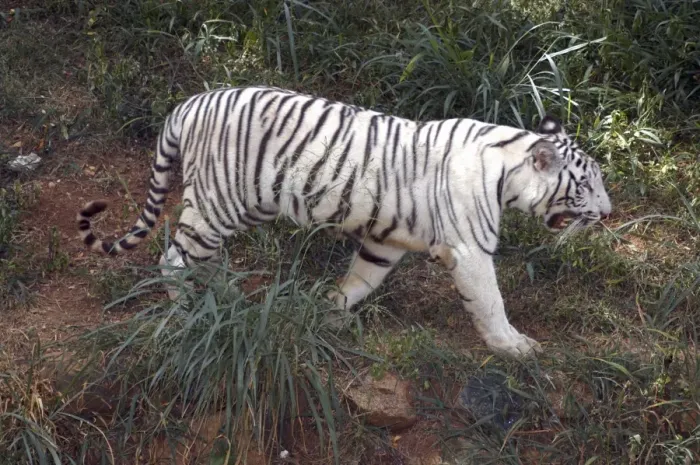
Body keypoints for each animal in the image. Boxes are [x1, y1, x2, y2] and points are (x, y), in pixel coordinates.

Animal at [76, 86, 611, 358]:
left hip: (238, 208)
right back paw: (188, 309)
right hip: (217, 204)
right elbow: (491, 301)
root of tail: (188, 104)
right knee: (174, 258)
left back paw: (226, 295)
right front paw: (513, 346)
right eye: (587, 185)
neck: (506, 170)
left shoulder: (385, 242)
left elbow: (359, 281)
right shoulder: (470, 250)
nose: (608, 214)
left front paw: (328, 314)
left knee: (201, 258)